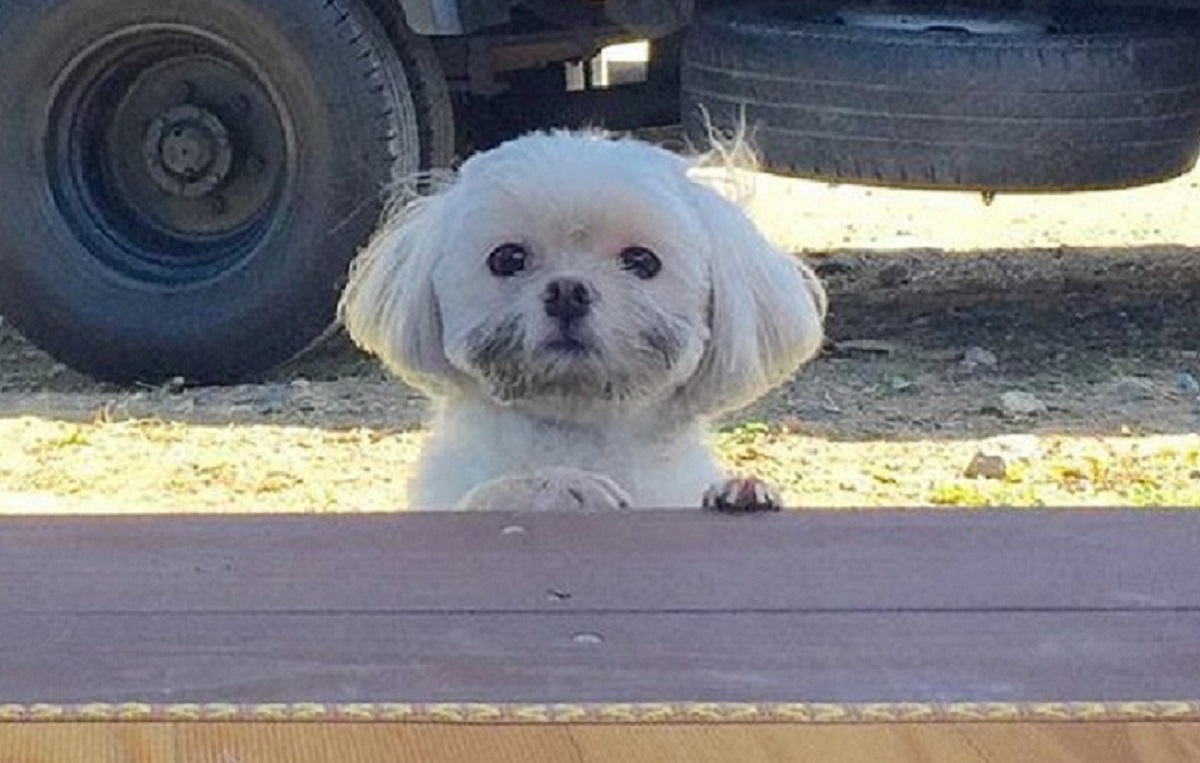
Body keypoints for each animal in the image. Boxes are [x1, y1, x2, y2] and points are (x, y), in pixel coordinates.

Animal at [339, 130, 826, 511]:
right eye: (507, 258)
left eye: (642, 261)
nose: (567, 292)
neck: (579, 430)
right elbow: (494, 490)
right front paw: (560, 483)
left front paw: (741, 487)